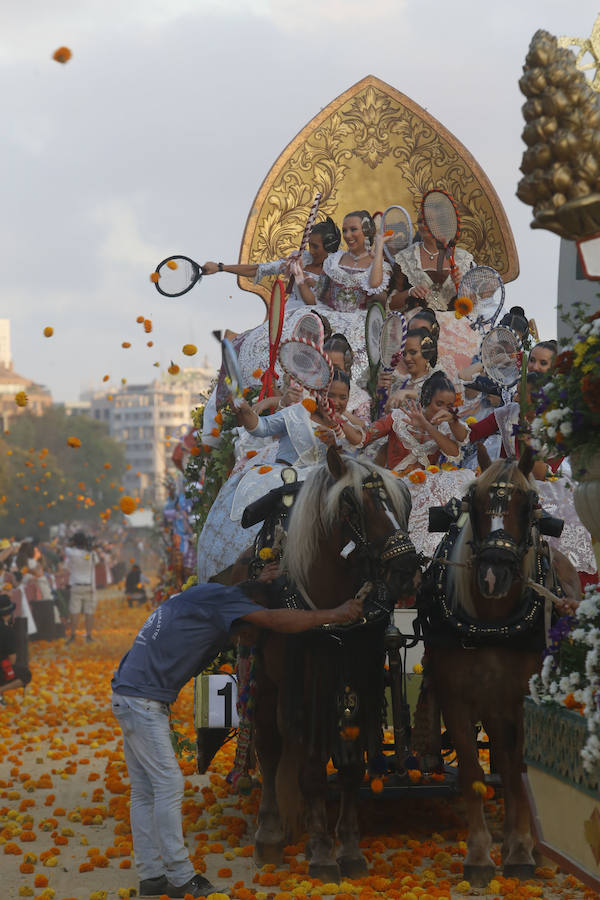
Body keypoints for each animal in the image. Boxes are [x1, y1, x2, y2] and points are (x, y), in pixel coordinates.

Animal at [252, 446, 418, 884]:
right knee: (269, 750)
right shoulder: (308, 688)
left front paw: (348, 849)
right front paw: (324, 857)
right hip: (265, 683)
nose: (408, 568)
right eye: (351, 504)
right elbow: (310, 774)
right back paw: (269, 836)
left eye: (403, 500)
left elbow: (349, 770)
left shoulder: (355, 681)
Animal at [420, 446, 580, 884]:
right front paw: (478, 855)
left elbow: (521, 773)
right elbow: (473, 773)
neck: (492, 623)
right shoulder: (457, 701)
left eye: (528, 504)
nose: (493, 575)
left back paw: (527, 847)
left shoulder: (523, 701)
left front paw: (522, 849)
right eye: (472, 501)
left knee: (512, 770)